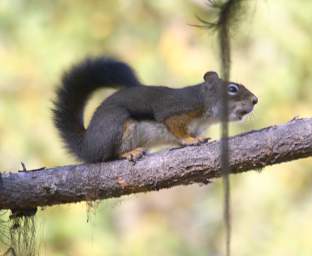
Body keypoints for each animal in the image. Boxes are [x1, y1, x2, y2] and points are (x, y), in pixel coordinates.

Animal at [53, 57, 258, 163]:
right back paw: (129, 153)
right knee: (108, 155)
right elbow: (176, 128)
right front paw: (190, 140)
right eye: (232, 88)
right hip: (118, 126)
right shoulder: (177, 112)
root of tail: (87, 145)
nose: (255, 100)